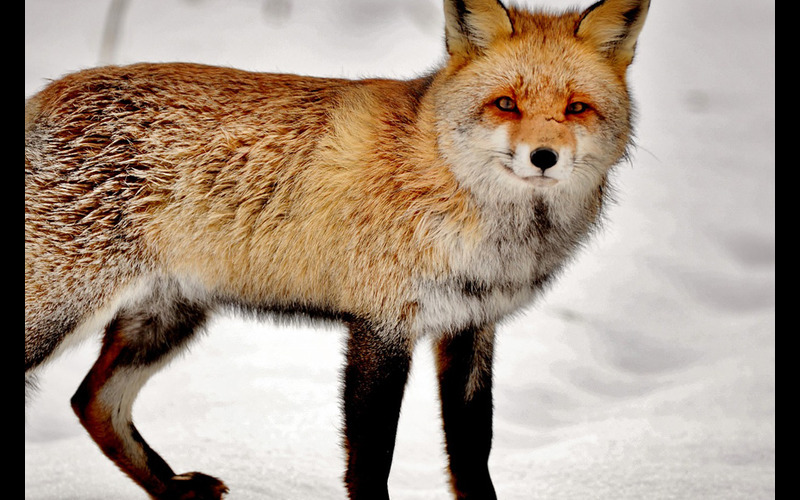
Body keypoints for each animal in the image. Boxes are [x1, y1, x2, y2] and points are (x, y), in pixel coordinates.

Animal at [25, 0, 648, 498]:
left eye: (576, 108)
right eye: (505, 104)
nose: (544, 157)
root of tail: (46, 94)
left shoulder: (472, 325)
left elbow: (473, 454)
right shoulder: (381, 325)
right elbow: (371, 461)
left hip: (168, 317)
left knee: (92, 403)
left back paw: (175, 490)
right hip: (62, 311)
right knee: (89, 398)